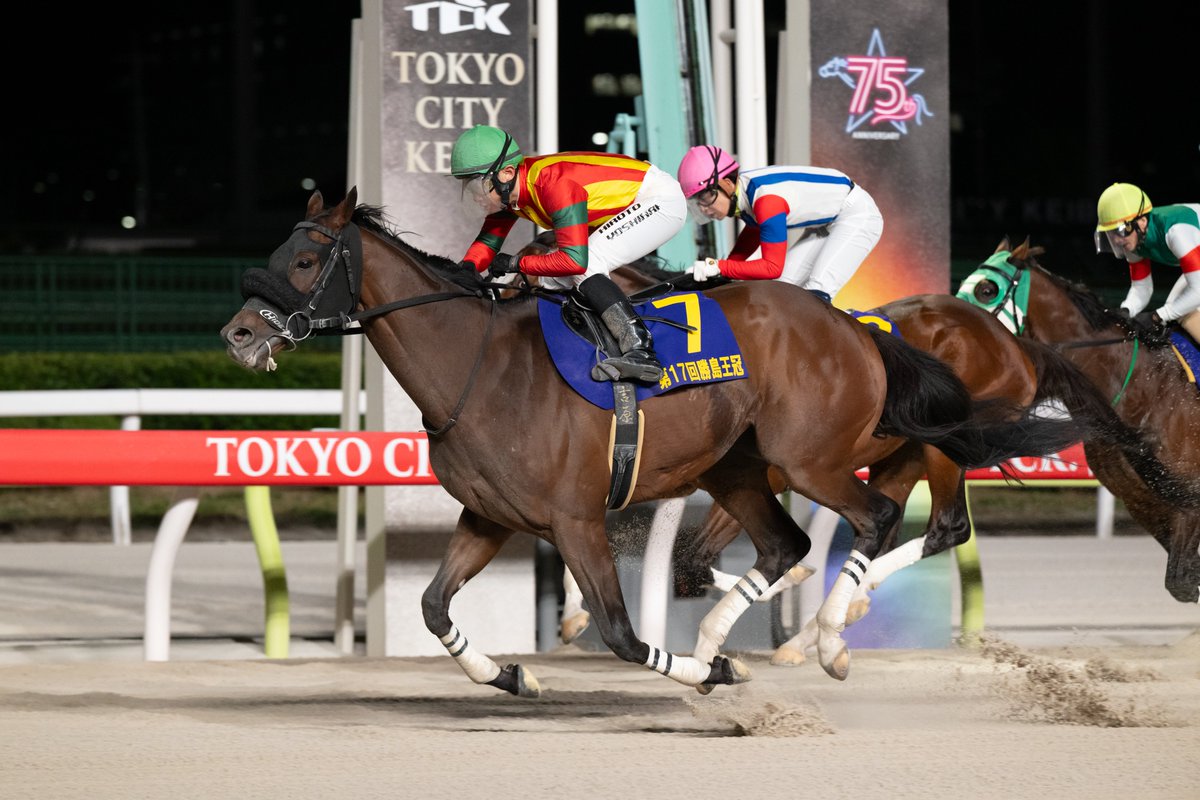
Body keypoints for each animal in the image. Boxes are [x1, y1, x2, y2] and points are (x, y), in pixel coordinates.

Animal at [220, 188, 1080, 695]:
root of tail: (848, 325)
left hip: (811, 456)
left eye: (304, 258)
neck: (479, 366)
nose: (237, 335)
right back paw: (748, 631)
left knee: (877, 518)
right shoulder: (490, 516)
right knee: (787, 544)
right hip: (740, 467)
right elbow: (433, 607)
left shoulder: (576, 519)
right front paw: (511, 675)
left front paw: (709, 670)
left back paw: (828, 639)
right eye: (276, 254)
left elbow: (622, 633)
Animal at [958, 238, 1200, 603]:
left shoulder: (1189, 497)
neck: (1142, 387)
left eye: (987, 289)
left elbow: (1183, 583)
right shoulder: (1141, 499)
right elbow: (1183, 584)